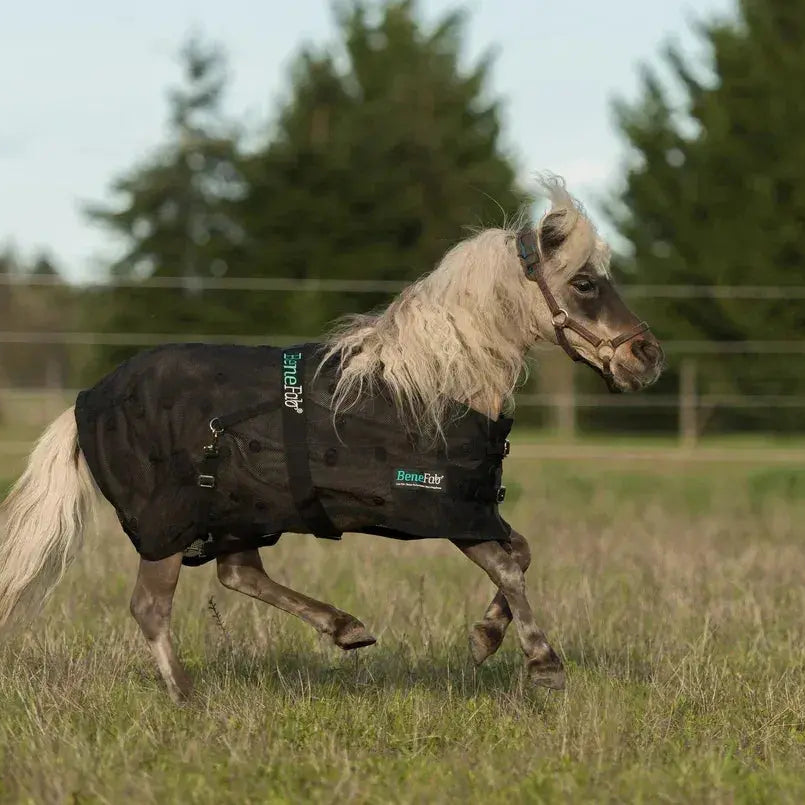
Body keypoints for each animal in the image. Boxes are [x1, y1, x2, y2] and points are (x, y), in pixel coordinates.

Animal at [0, 178, 663, 701]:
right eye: (585, 283)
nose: (646, 356)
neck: (436, 383)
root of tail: (87, 402)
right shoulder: (443, 509)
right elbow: (510, 568)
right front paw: (542, 664)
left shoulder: (472, 509)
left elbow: (520, 556)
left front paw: (483, 641)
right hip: (169, 525)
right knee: (152, 606)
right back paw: (188, 697)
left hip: (239, 512)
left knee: (237, 574)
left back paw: (346, 629)